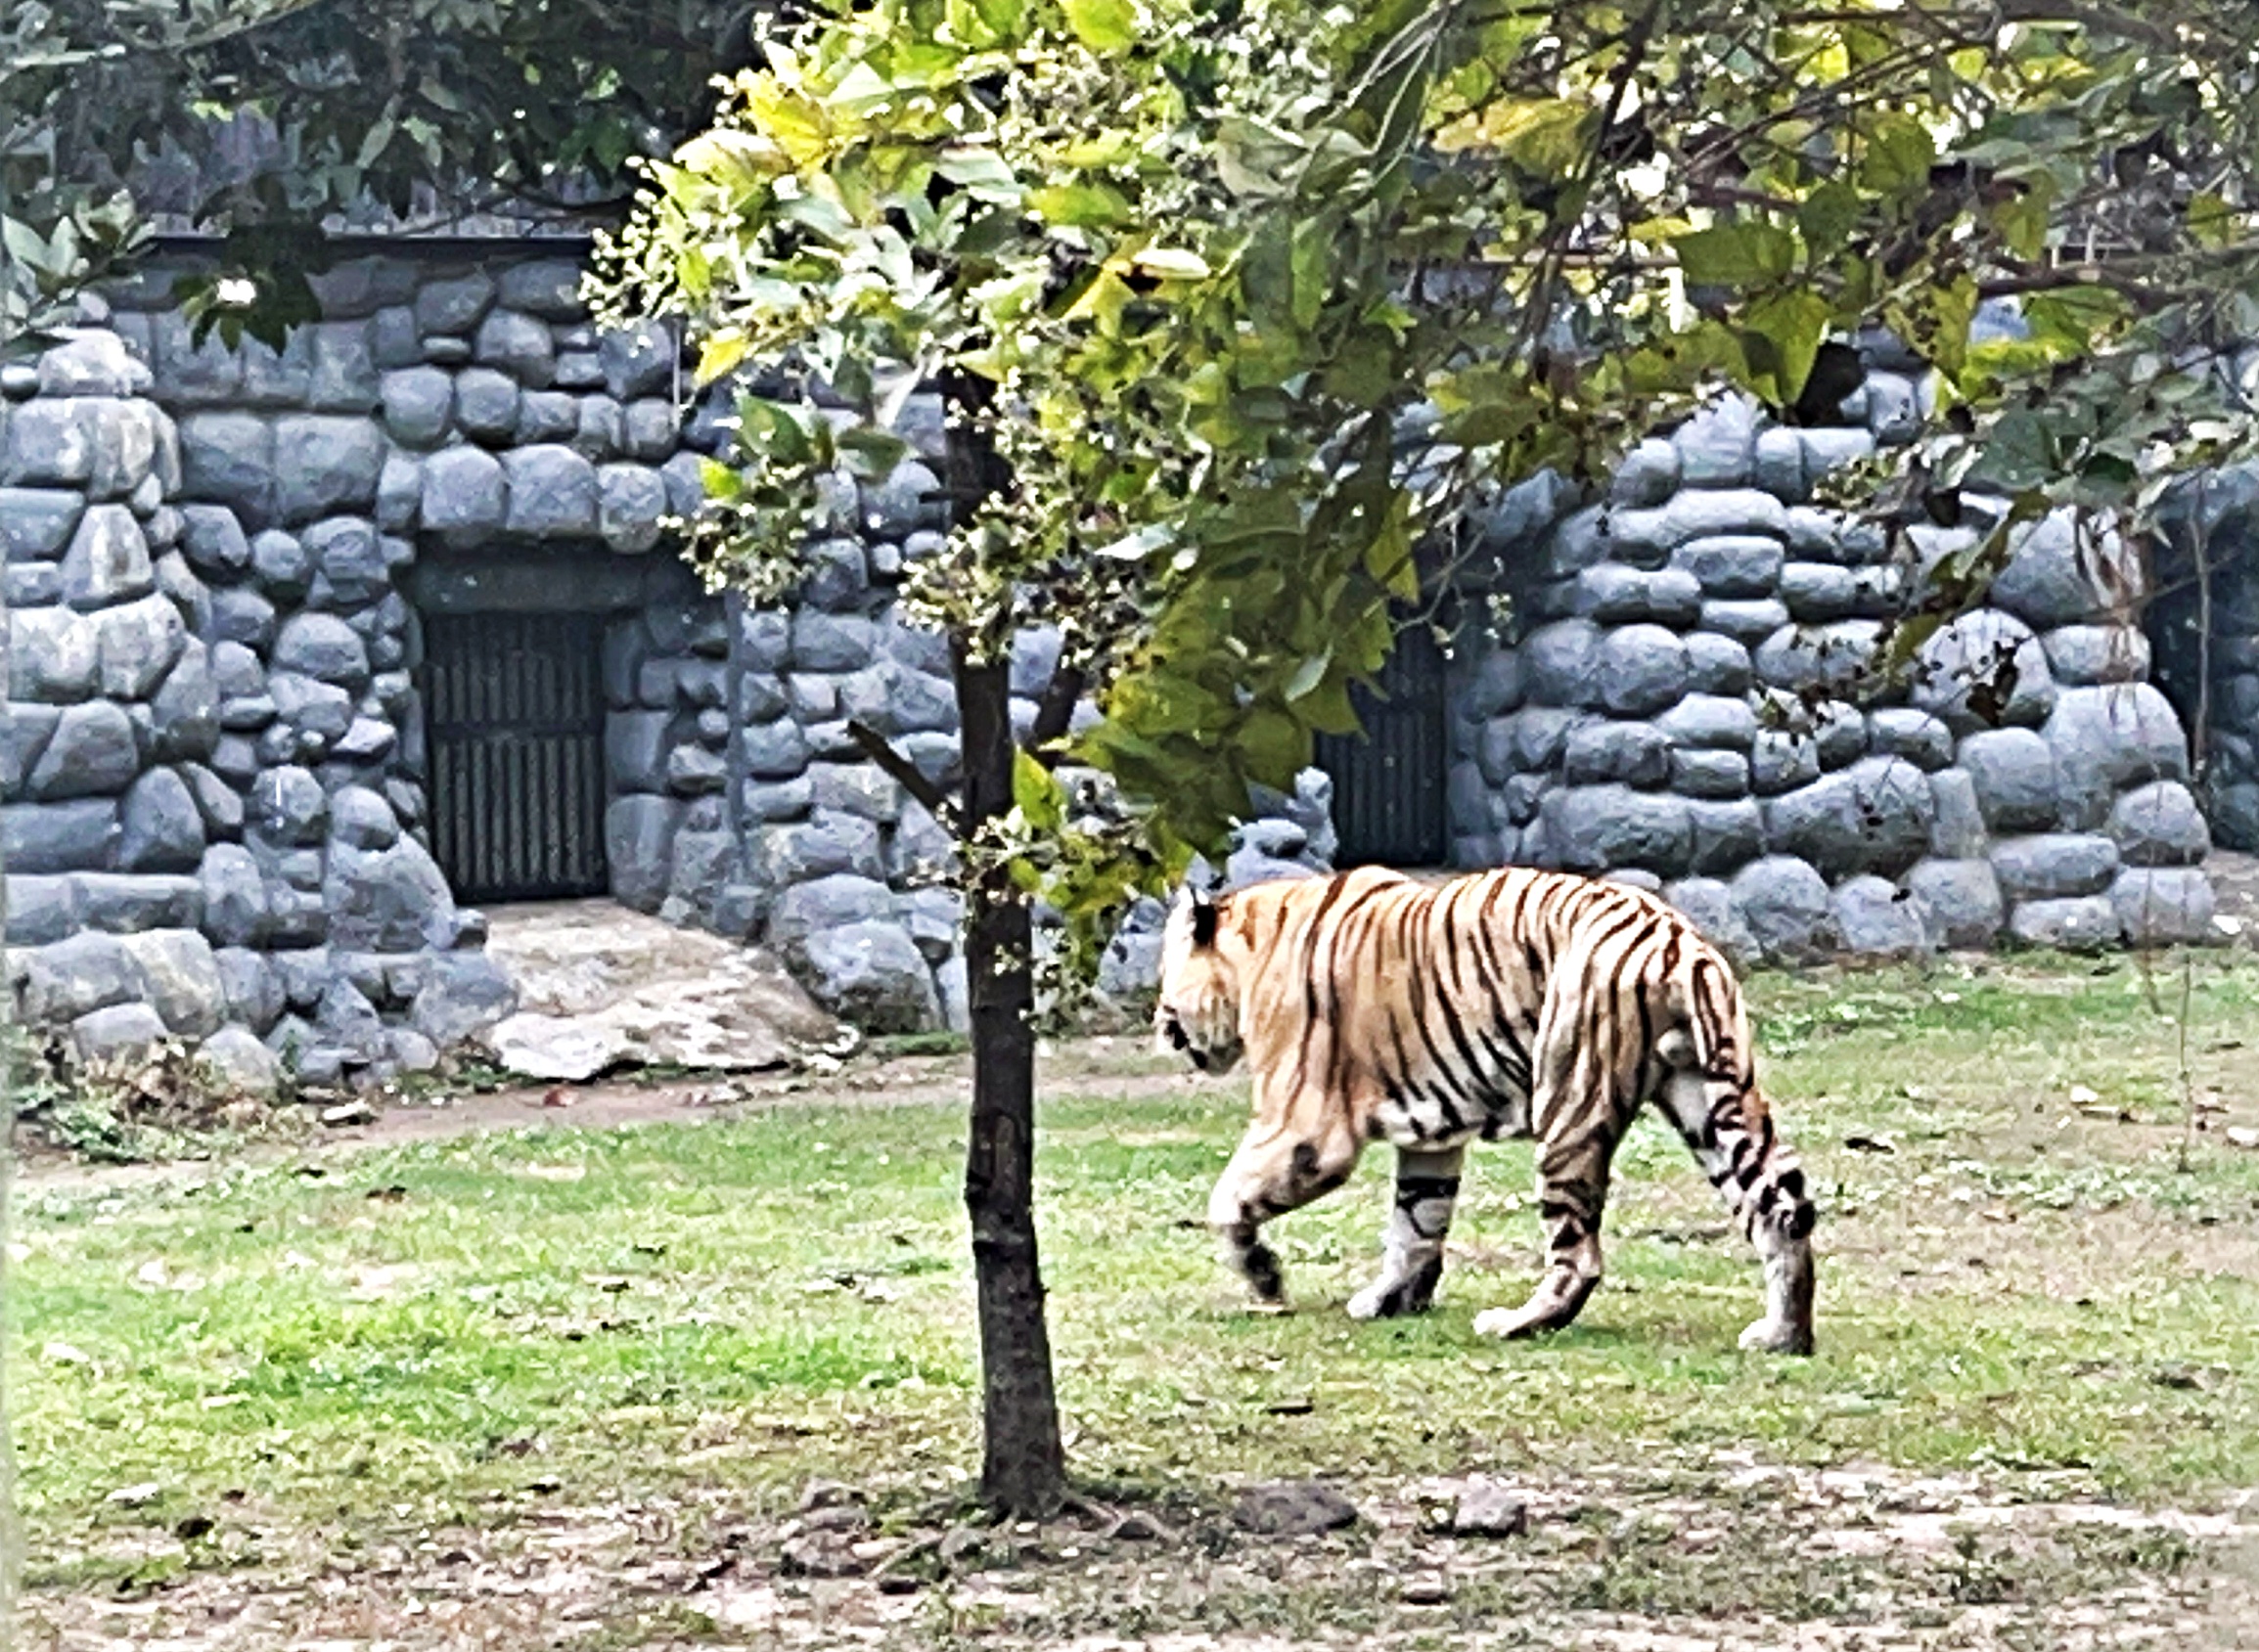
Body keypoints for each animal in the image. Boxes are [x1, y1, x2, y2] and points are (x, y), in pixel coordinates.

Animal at [1165, 868, 1816, 1356]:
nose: (1161, 1027)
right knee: (1781, 1213)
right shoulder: (1430, 1138)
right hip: (1705, 1099)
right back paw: (1782, 1336)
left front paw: (1266, 1280)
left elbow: (1226, 1202)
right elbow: (1416, 1225)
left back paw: (1515, 1324)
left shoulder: (1305, 1127)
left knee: (1579, 1255)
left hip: (1568, 1100)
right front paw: (1393, 1299)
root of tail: (1678, 944)